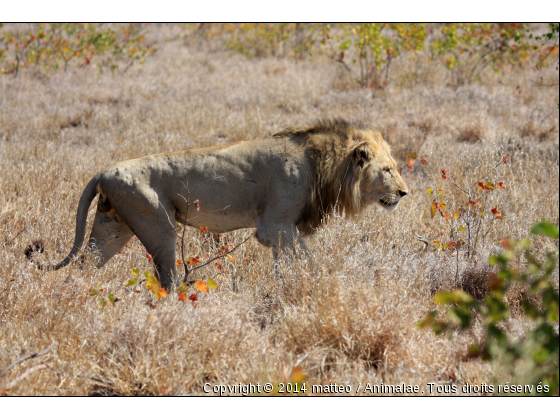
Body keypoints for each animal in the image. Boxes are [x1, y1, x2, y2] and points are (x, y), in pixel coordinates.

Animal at [27, 117, 406, 288]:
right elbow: (307, 259)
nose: (404, 193)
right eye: (387, 170)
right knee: (167, 277)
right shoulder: (276, 226)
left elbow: (285, 265)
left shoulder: (280, 231)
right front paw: (323, 282)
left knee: (85, 262)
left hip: (112, 227)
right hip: (159, 225)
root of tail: (103, 171)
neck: (322, 164)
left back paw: (78, 295)